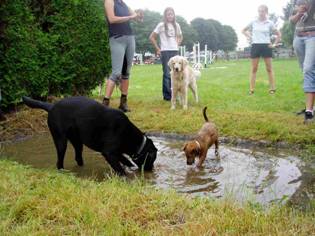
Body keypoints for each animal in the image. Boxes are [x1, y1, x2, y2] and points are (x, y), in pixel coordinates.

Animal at [22, 96, 158, 175]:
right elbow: (119, 167)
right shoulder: (108, 152)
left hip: (77, 142)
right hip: (61, 141)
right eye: (152, 159)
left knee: (78, 157)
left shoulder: (115, 152)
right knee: (59, 162)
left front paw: (130, 166)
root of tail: (51, 106)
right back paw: (63, 171)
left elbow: (124, 159)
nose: (151, 170)